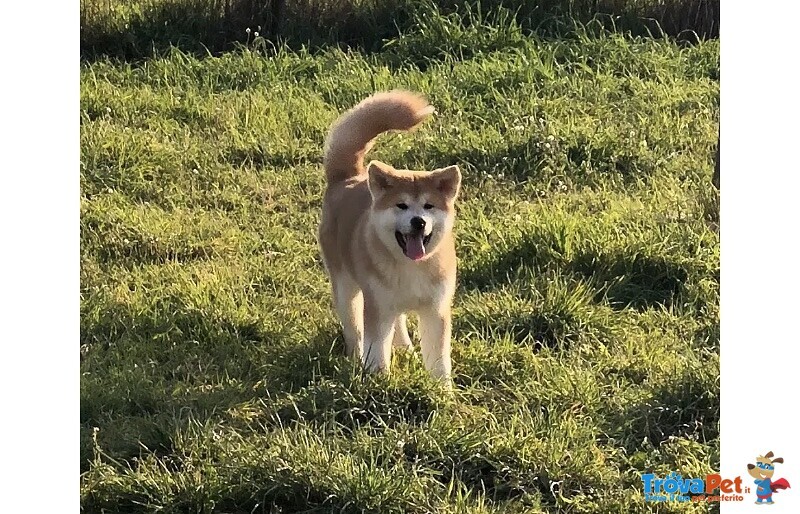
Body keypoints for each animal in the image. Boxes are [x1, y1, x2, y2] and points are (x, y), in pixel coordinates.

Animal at [316, 90, 460, 384]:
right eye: (401, 206)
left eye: (428, 206)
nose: (418, 222)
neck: (412, 267)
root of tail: (346, 179)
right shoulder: (378, 306)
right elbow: (377, 349)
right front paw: (378, 381)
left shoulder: (435, 309)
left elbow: (439, 360)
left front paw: (442, 390)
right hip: (347, 288)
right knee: (355, 330)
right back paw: (355, 358)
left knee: (399, 323)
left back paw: (405, 349)